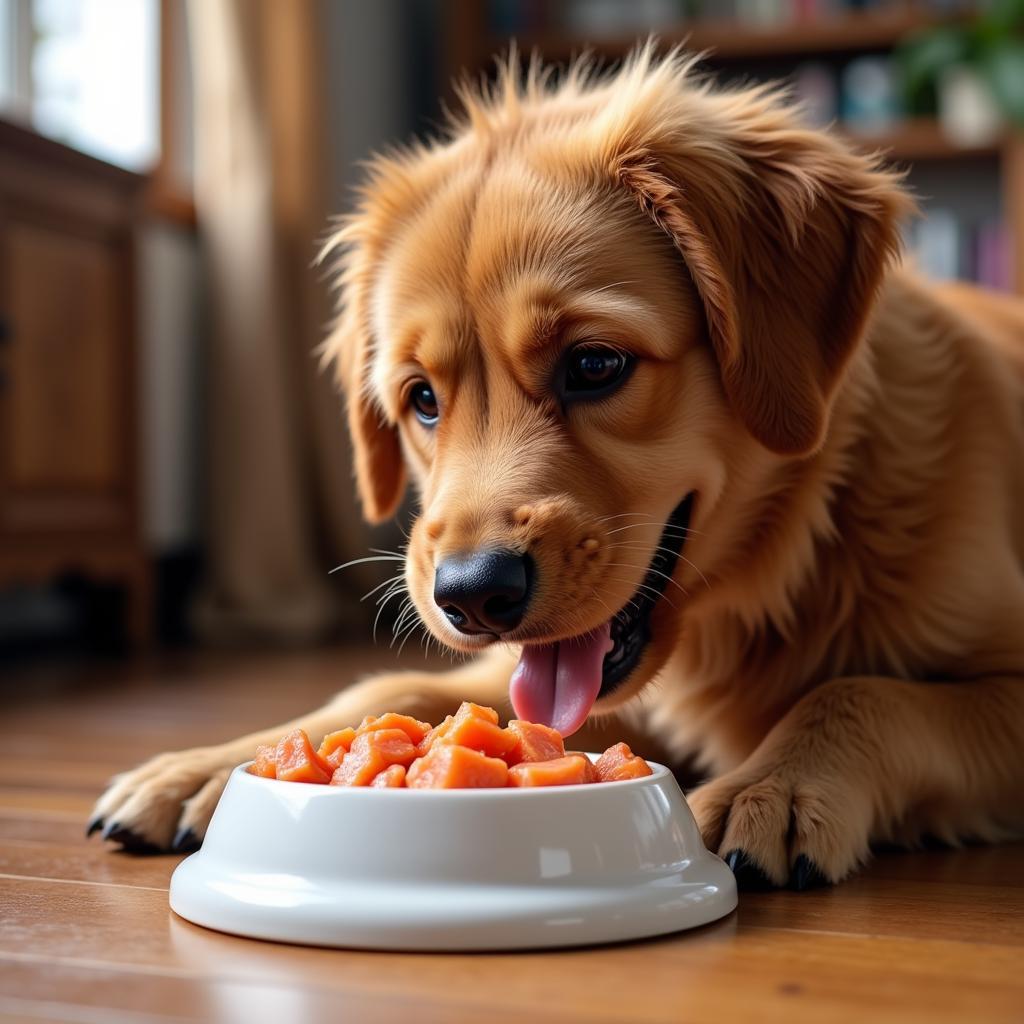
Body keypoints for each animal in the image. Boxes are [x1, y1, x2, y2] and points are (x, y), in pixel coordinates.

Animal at [90, 48, 1024, 888]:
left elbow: (862, 692)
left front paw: (773, 784)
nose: (471, 596)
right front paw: (215, 766)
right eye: (421, 399)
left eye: (595, 365)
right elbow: (398, 689)